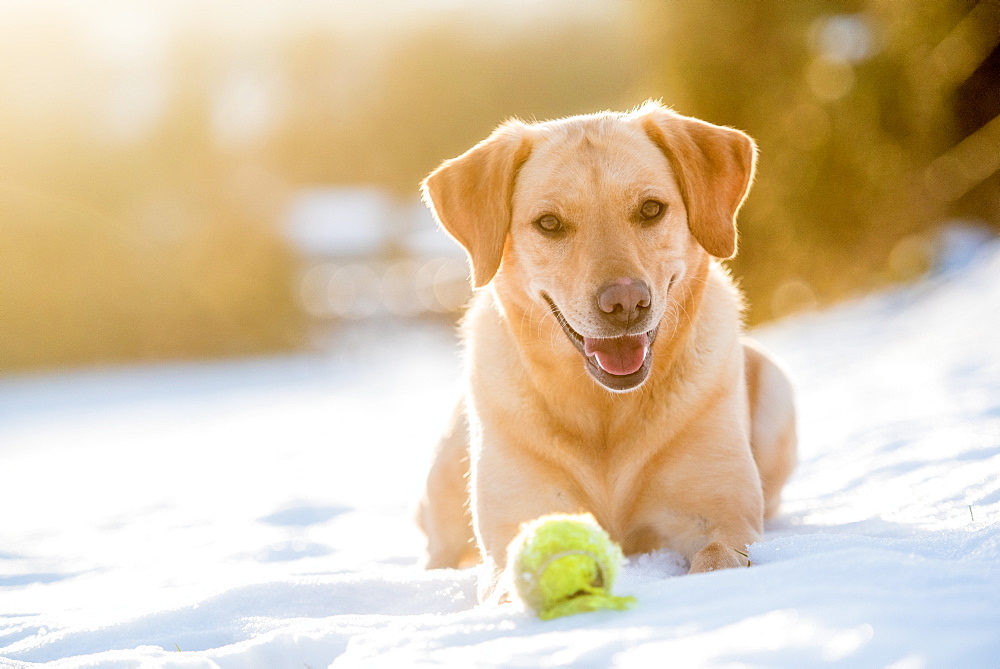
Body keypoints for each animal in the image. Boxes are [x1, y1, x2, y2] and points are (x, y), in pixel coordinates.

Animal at [414, 103, 796, 600]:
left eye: (651, 209)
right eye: (549, 223)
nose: (626, 303)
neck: (605, 413)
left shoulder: (723, 516)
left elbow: (716, 557)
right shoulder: (513, 536)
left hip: (776, 389)